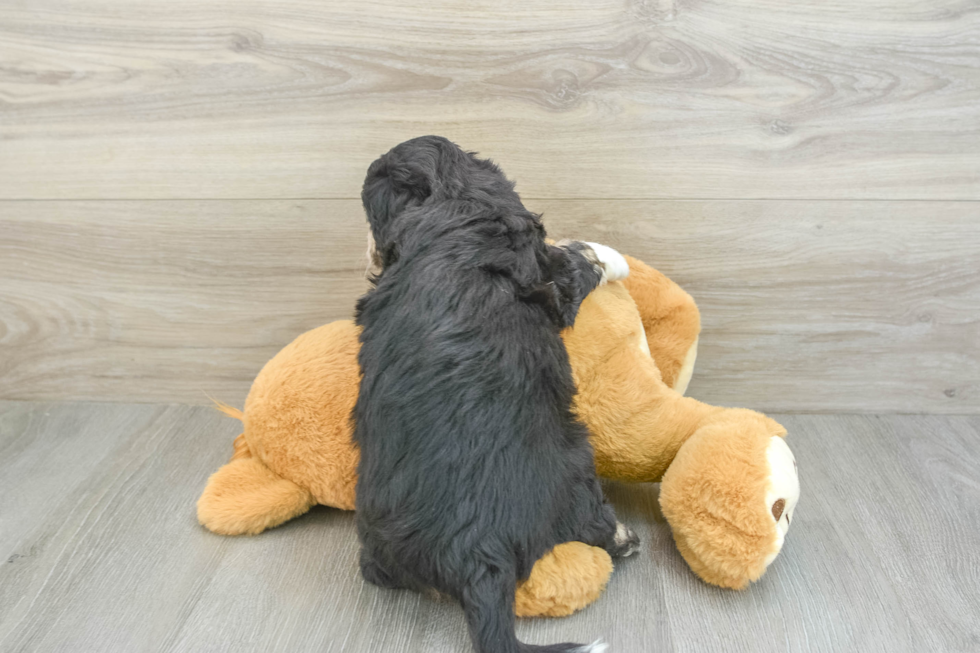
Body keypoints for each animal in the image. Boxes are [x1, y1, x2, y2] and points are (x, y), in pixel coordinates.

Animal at [352, 134, 636, 652]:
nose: (372, 256)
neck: (454, 196)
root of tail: (477, 559)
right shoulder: (551, 272)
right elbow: (580, 261)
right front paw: (612, 255)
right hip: (575, 469)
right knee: (595, 523)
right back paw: (625, 538)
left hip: (381, 541)